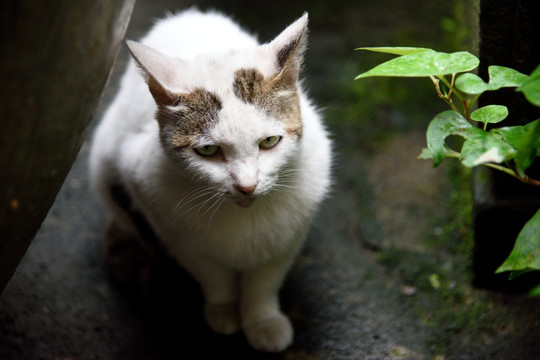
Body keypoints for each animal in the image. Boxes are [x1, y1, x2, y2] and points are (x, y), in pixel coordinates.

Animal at [88, 8, 332, 352]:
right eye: (207, 150)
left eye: (269, 142)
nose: (247, 185)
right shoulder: (162, 215)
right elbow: (212, 273)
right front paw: (224, 309)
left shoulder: (292, 232)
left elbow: (264, 281)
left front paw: (262, 321)